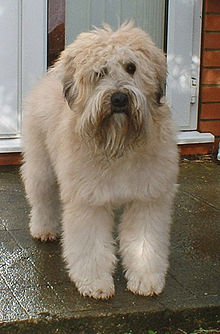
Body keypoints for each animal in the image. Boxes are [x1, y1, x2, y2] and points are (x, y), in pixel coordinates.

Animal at [21, 23, 179, 300]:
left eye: (131, 67)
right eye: (99, 72)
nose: (119, 99)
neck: (118, 144)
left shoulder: (148, 198)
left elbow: (144, 243)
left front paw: (145, 279)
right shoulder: (88, 200)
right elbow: (90, 245)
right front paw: (95, 282)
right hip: (42, 166)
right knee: (42, 198)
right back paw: (44, 229)